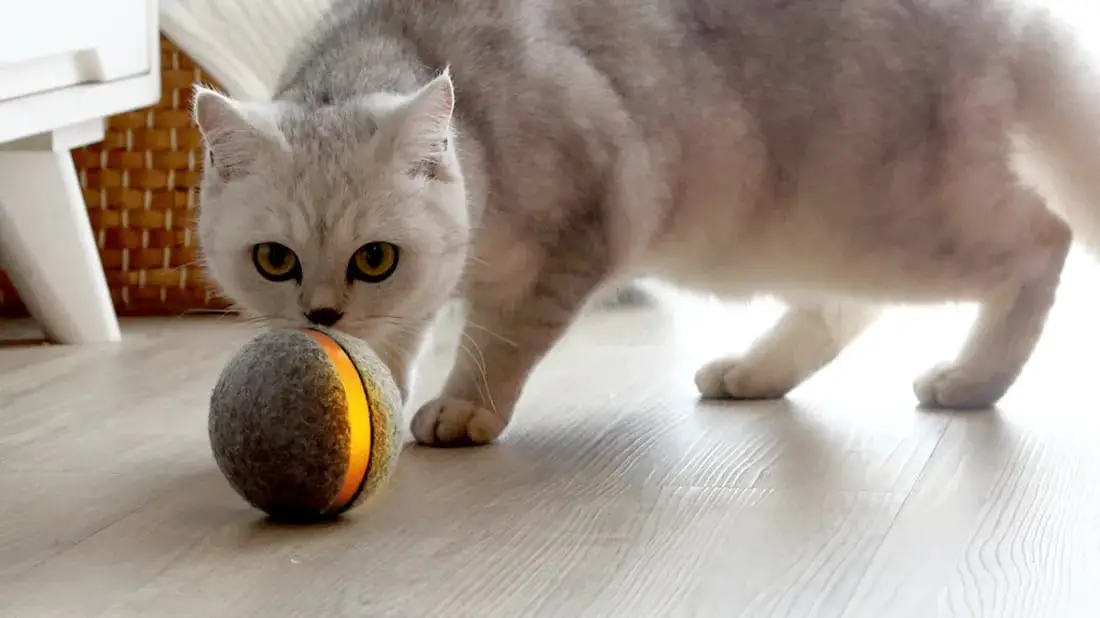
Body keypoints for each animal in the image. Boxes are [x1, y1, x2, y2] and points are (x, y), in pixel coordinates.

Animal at [193, 0, 1100, 444]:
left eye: (374, 258)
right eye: (274, 261)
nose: (321, 315)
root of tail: (1020, 19)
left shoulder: (573, 230)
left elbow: (501, 340)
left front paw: (462, 411)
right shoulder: (419, 296)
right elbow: (391, 347)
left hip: (896, 224)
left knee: (1042, 241)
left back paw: (972, 380)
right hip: (814, 239)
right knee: (845, 309)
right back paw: (754, 372)